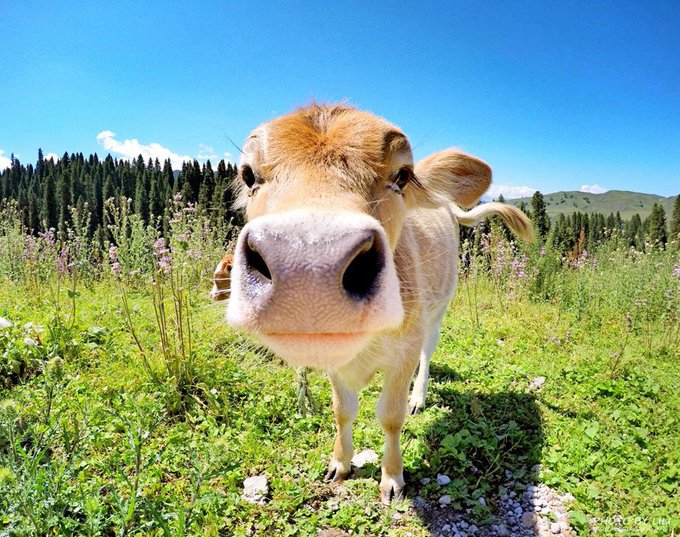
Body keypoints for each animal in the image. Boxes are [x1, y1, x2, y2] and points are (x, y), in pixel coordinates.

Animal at [220, 103, 533, 503]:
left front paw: (392, 477)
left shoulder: (403, 351)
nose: (309, 269)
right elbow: (342, 410)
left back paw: (419, 397)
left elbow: (390, 416)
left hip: (437, 312)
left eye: (402, 175)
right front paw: (340, 463)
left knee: (428, 353)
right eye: (248, 175)